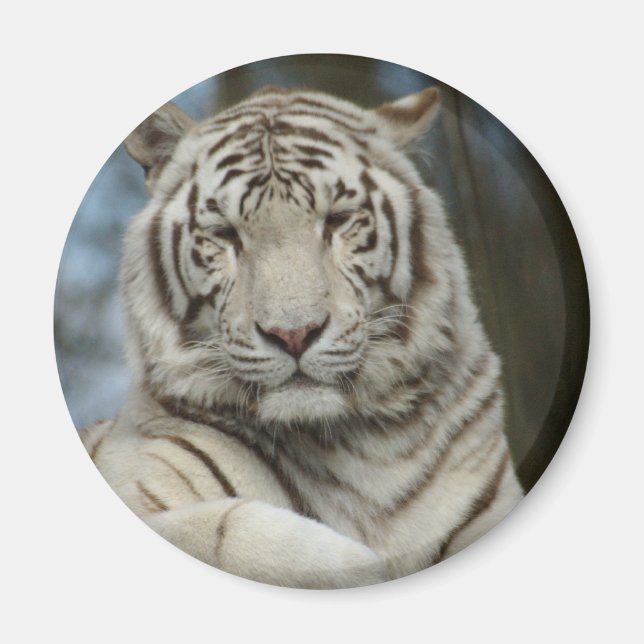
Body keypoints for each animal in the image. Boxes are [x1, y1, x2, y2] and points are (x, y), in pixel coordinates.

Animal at [80, 84, 524, 589]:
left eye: (338, 220)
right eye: (224, 234)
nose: (293, 334)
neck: (363, 450)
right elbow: (222, 533)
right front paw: (354, 562)